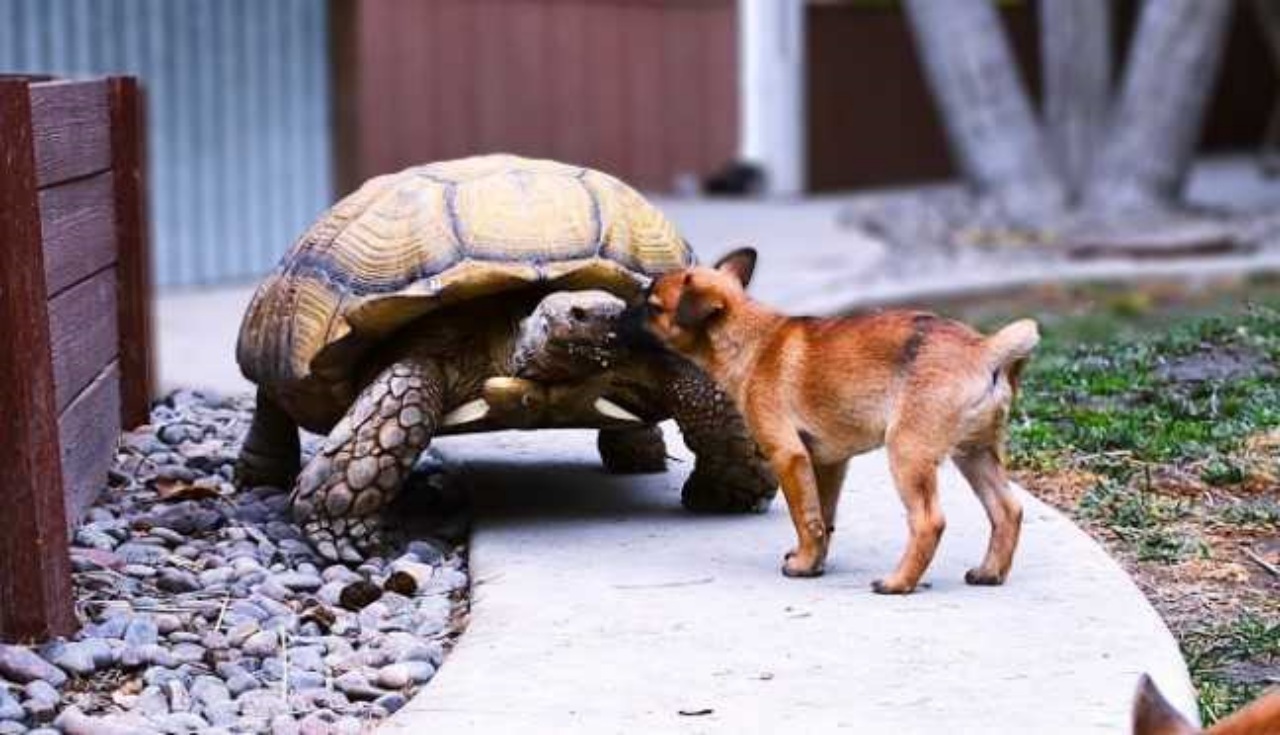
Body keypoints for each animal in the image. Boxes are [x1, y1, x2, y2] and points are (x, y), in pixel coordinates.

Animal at [632, 250, 1039, 596]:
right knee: (1007, 510)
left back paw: (898, 582)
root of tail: (984, 352)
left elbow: (804, 517)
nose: (626, 314)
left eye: (653, 307)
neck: (751, 337)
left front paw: (803, 563)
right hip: (975, 454)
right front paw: (815, 561)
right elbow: (822, 517)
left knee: (928, 521)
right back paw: (990, 572)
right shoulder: (826, 463)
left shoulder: (788, 456)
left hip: (908, 454)